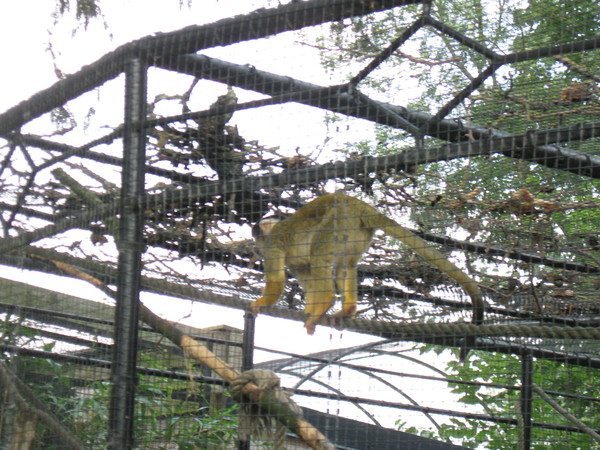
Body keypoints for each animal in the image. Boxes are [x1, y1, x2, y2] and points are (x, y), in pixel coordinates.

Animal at [251, 192, 486, 336]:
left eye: (256, 236)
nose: (255, 245)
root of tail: (362, 207)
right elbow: (308, 281)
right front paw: (309, 310)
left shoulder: (271, 245)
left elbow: (277, 280)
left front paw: (260, 303)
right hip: (357, 232)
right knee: (344, 266)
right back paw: (346, 309)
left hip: (339, 220)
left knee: (320, 256)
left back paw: (326, 302)